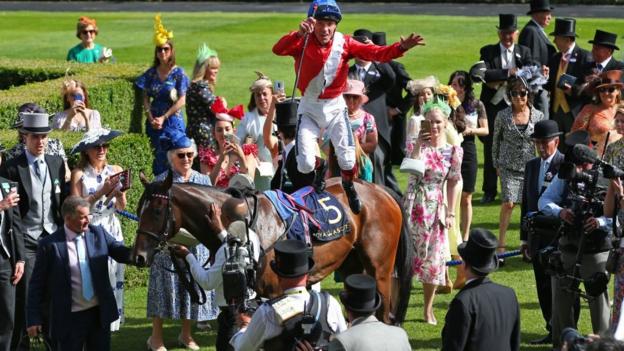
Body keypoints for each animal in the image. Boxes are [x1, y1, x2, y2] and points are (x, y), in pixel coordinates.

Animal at [130, 173, 414, 324]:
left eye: (157, 211)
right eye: (138, 209)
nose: (138, 256)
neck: (241, 221)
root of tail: (380, 190)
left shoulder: (274, 292)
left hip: (379, 269)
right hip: (355, 265)